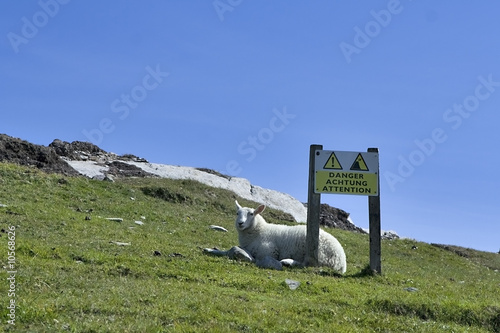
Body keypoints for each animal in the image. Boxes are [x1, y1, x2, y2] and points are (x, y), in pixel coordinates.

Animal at [205, 200, 346, 272]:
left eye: (251, 214)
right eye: (237, 213)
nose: (240, 223)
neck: (259, 231)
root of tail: (342, 261)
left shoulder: (269, 251)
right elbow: (228, 250)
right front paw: (211, 250)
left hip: (316, 253)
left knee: (306, 265)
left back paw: (288, 261)